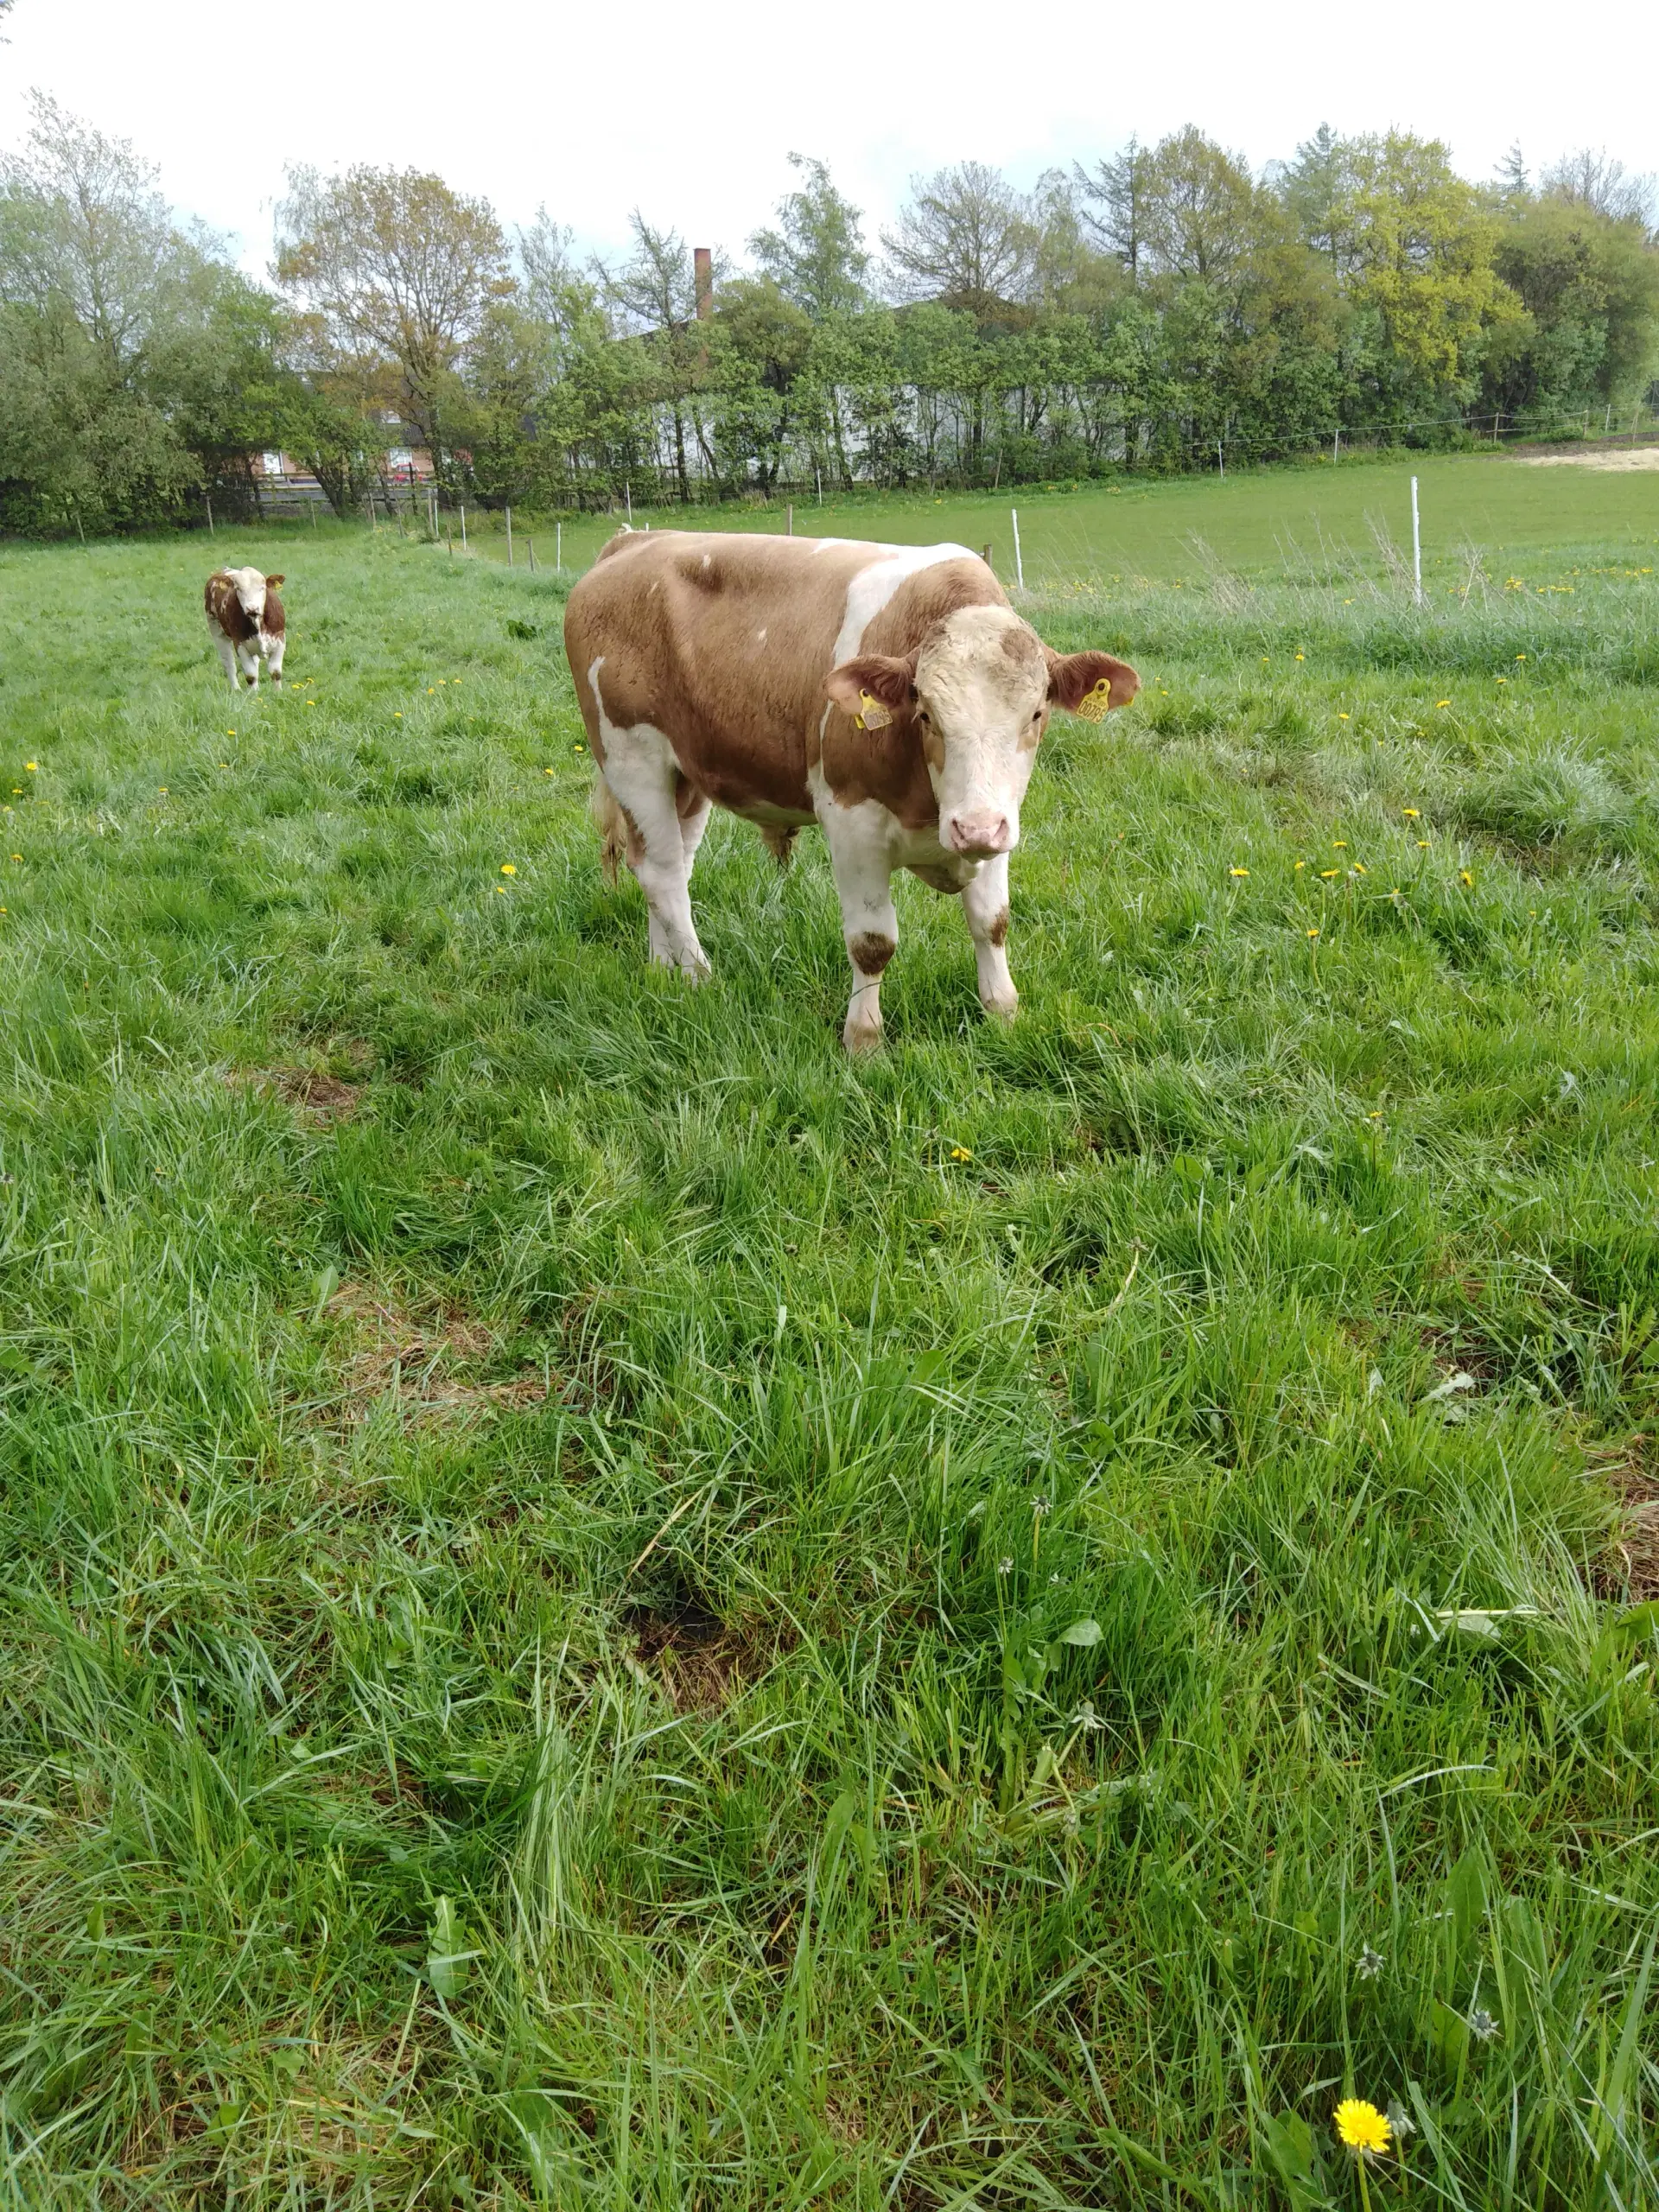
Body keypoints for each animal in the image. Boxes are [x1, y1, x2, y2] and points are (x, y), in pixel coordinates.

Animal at [207, 566, 287, 685]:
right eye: (238, 589)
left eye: (262, 588)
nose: (252, 608)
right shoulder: (240, 644)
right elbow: (251, 676)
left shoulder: (280, 640)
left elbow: (275, 673)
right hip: (217, 632)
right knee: (229, 665)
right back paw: (236, 688)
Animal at [566, 535, 1141, 1052]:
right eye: (925, 714)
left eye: (1037, 714)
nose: (973, 827)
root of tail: (632, 542)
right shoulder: (852, 822)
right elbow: (872, 943)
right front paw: (863, 1041)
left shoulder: (1000, 824)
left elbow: (991, 923)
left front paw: (1002, 1014)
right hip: (631, 759)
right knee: (662, 873)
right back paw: (700, 978)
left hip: (686, 774)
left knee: (665, 866)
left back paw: (665, 971)